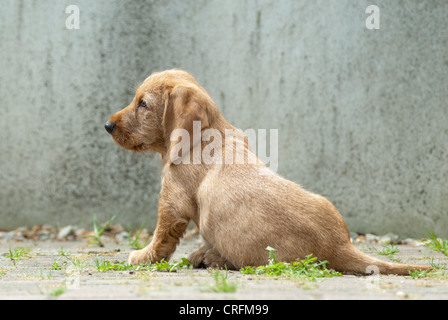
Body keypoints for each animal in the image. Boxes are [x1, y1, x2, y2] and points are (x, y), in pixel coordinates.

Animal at [105, 70, 430, 276]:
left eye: (143, 104)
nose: (107, 125)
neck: (205, 135)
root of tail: (339, 247)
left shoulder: (172, 203)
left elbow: (161, 238)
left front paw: (143, 256)